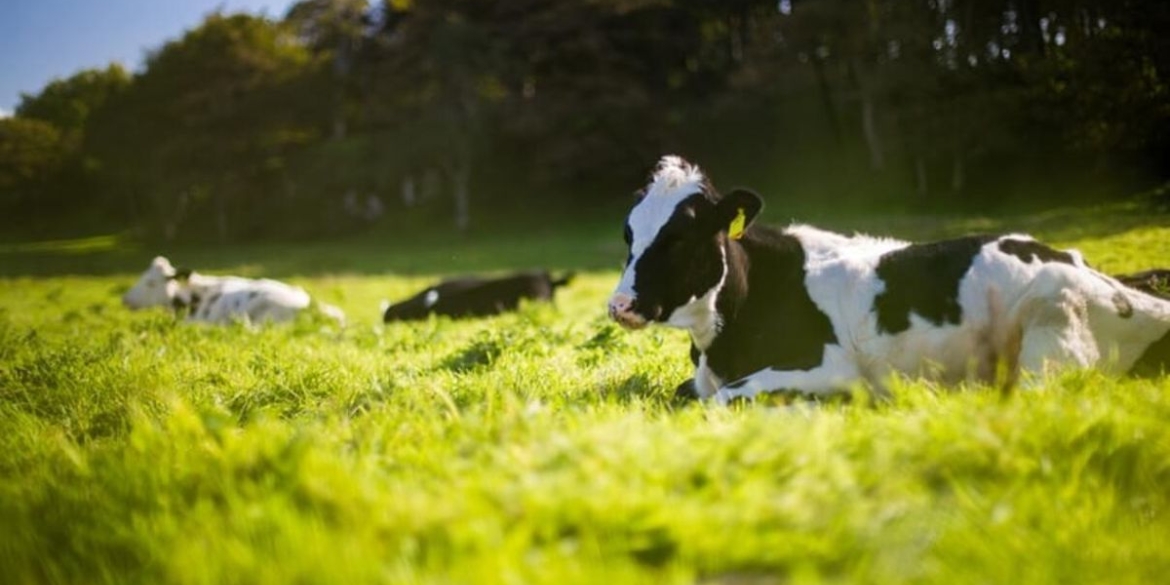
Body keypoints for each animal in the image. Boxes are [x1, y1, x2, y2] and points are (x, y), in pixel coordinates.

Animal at [608, 154, 1170, 407]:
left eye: (680, 236)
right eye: (629, 232)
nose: (620, 305)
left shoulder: (828, 365)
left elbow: (724, 398)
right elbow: (691, 393)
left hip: (1050, 334)